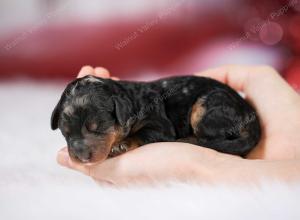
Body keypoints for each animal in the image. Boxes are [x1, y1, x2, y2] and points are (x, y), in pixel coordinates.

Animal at [51, 75, 260, 163]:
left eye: (98, 127)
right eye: (65, 133)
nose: (80, 157)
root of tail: (251, 115)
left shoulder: (160, 126)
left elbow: (143, 133)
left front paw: (121, 145)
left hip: (205, 109)